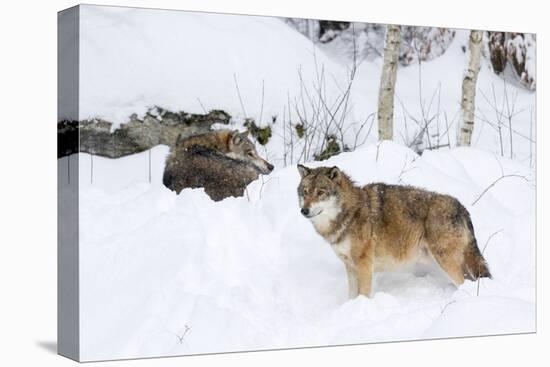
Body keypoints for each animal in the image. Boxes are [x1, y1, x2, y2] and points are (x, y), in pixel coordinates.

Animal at [298, 165, 492, 300]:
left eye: (320, 192)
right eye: (305, 192)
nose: (304, 211)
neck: (349, 212)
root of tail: (461, 207)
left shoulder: (363, 264)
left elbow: (363, 294)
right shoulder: (349, 265)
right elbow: (351, 295)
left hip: (446, 261)